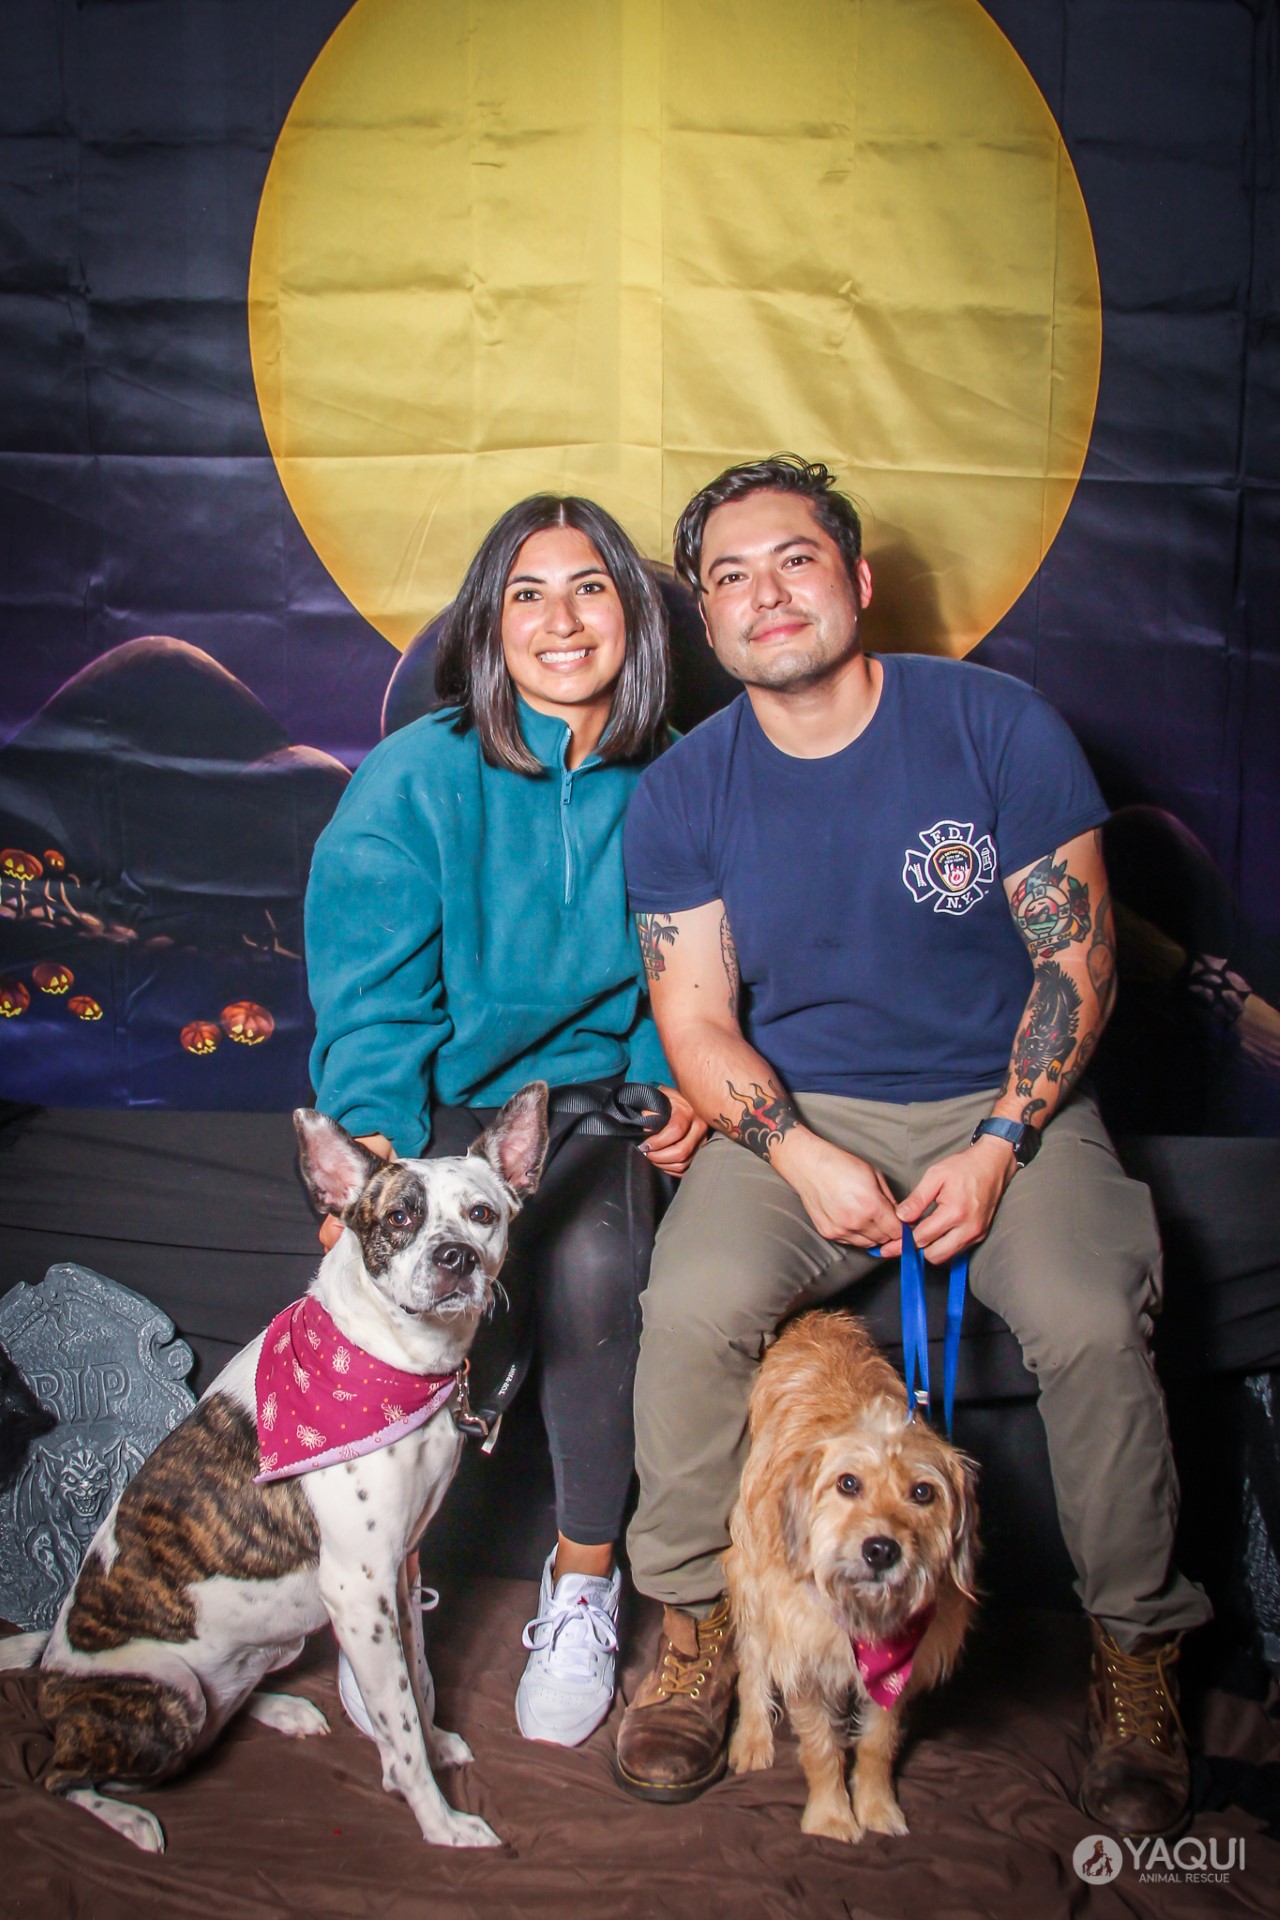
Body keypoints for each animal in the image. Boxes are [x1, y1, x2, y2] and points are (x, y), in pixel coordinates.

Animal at [0, 1083, 549, 1853]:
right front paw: (437, 1819)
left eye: (482, 1215)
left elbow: (418, 1680)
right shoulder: (359, 1589)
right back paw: (131, 1818)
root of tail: (50, 1662)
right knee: (62, 1774)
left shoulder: (402, 1571)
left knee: (223, 1708)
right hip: (165, 1695)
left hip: (265, 1650)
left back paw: (281, 1709)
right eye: (400, 1217)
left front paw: (437, 1743)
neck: (390, 1364)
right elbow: (400, 1721)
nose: (455, 1258)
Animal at [724, 1309, 978, 1843]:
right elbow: (821, 1745)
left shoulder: (902, 1669)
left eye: (923, 1492)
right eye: (847, 1484)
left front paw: (877, 1807)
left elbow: (878, 1742)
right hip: (750, 1577)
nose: (881, 1550)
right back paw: (753, 1737)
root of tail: (815, 1320)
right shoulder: (799, 1652)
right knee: (753, 1661)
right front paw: (831, 1816)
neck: (865, 1616)